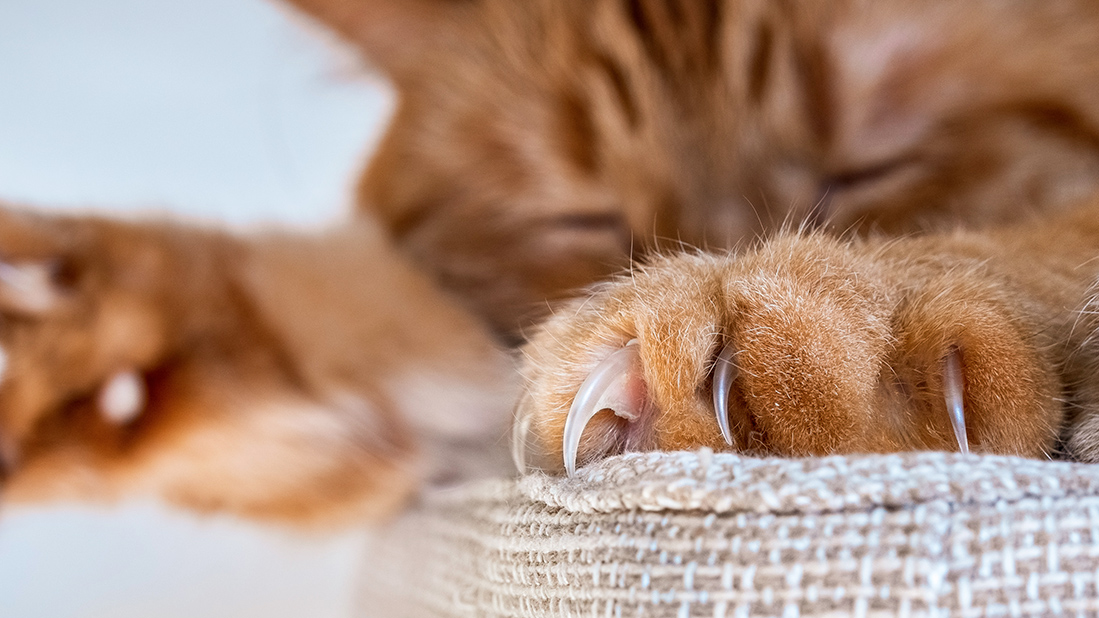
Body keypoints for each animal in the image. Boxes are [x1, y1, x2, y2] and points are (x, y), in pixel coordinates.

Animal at [2, 0, 1099, 519]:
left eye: (866, 167)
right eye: (581, 218)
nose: (704, 241)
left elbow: (1063, 228)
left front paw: (838, 327)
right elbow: (323, 319)